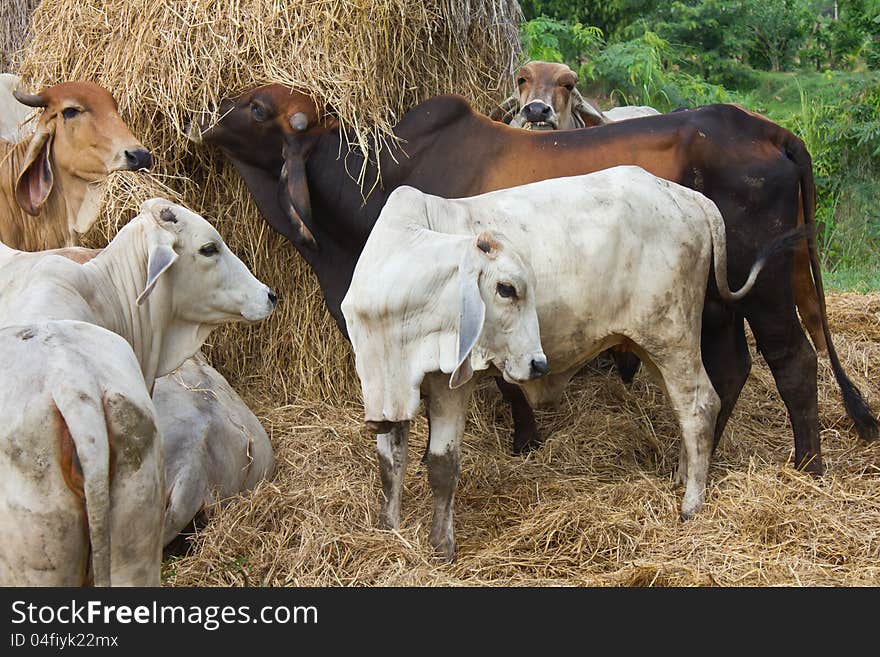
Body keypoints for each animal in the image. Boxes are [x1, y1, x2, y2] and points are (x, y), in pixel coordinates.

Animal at [189, 84, 876, 474]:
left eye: (256, 107)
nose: (205, 114)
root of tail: (768, 130)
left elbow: (502, 377)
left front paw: (523, 441)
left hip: (766, 287)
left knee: (793, 360)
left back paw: (806, 466)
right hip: (716, 301)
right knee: (730, 368)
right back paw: (694, 459)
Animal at [340, 165, 780, 560]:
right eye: (506, 288)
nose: (538, 363)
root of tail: (688, 197)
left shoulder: (451, 384)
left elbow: (442, 465)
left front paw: (442, 547)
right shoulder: (382, 387)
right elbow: (390, 462)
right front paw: (389, 530)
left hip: (672, 336)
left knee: (700, 406)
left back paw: (691, 504)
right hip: (653, 345)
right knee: (685, 408)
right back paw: (682, 479)